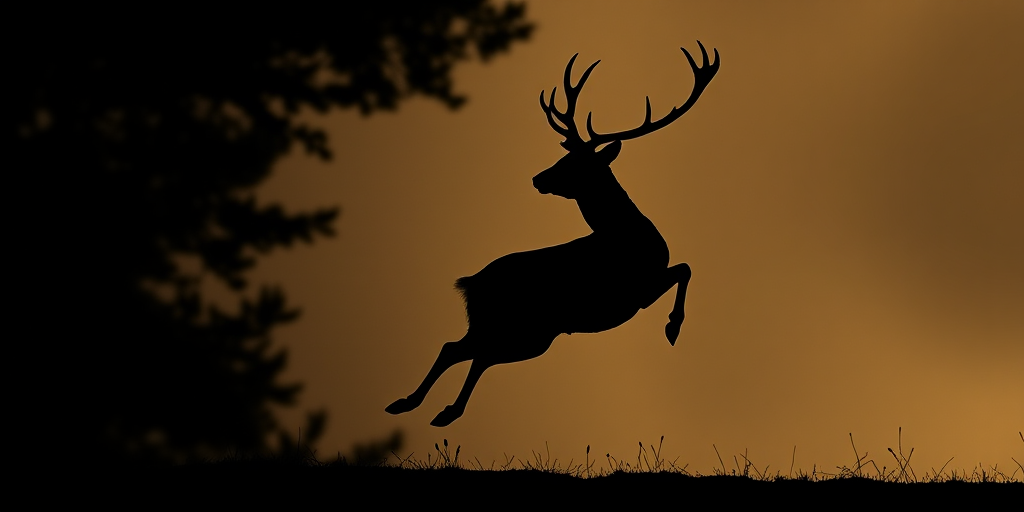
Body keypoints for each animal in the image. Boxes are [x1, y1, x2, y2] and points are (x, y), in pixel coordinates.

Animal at [386, 42, 720, 427]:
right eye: (566, 157)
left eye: (575, 162)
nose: (538, 178)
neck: (629, 238)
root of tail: (471, 283)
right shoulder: (636, 290)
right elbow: (685, 268)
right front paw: (672, 327)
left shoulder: (641, 290)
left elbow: (684, 268)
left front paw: (672, 327)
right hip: (526, 326)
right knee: (473, 353)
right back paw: (436, 408)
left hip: (516, 328)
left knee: (461, 350)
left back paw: (417, 405)